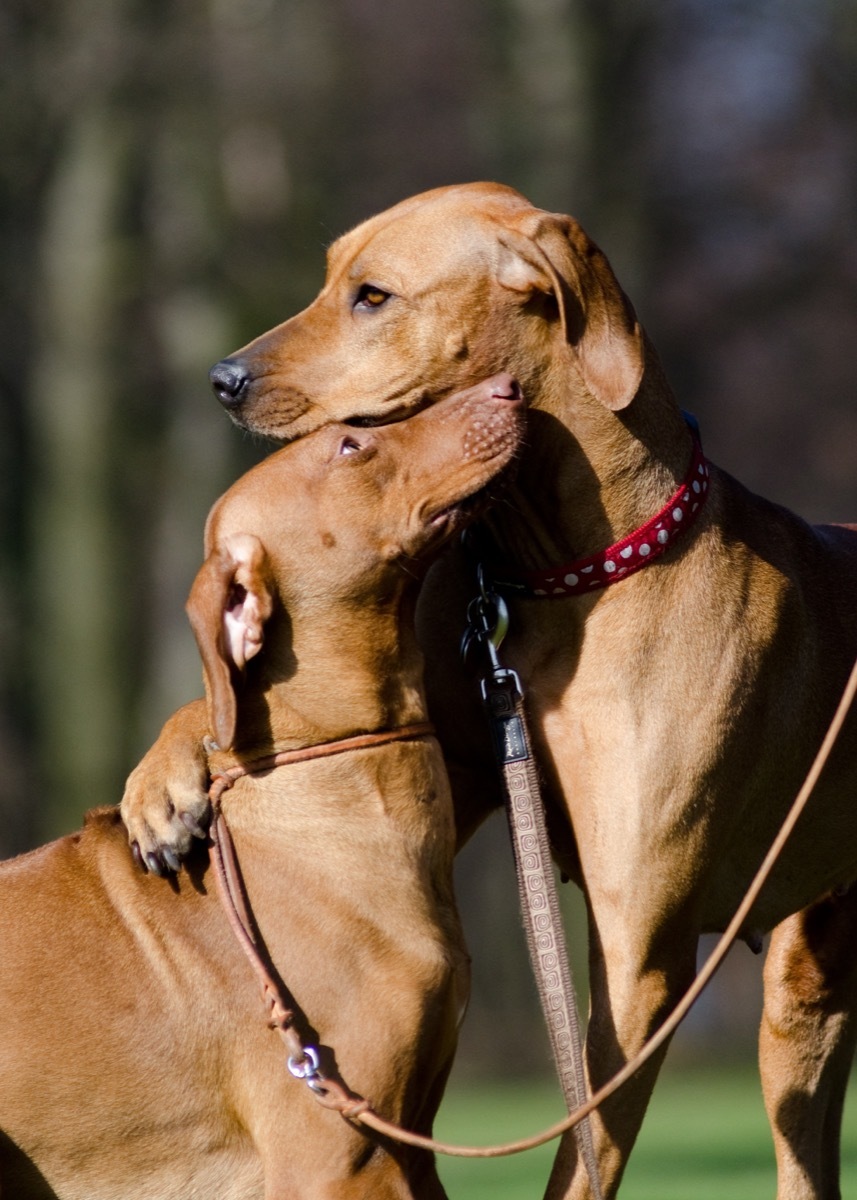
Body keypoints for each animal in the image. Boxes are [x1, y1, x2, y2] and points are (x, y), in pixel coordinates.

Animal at [120, 180, 854, 1200]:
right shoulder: (444, 732)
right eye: (331, 278)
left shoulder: (639, 952)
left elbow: (584, 1149)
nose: (221, 378)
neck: (561, 578)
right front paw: (162, 783)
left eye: (373, 297)